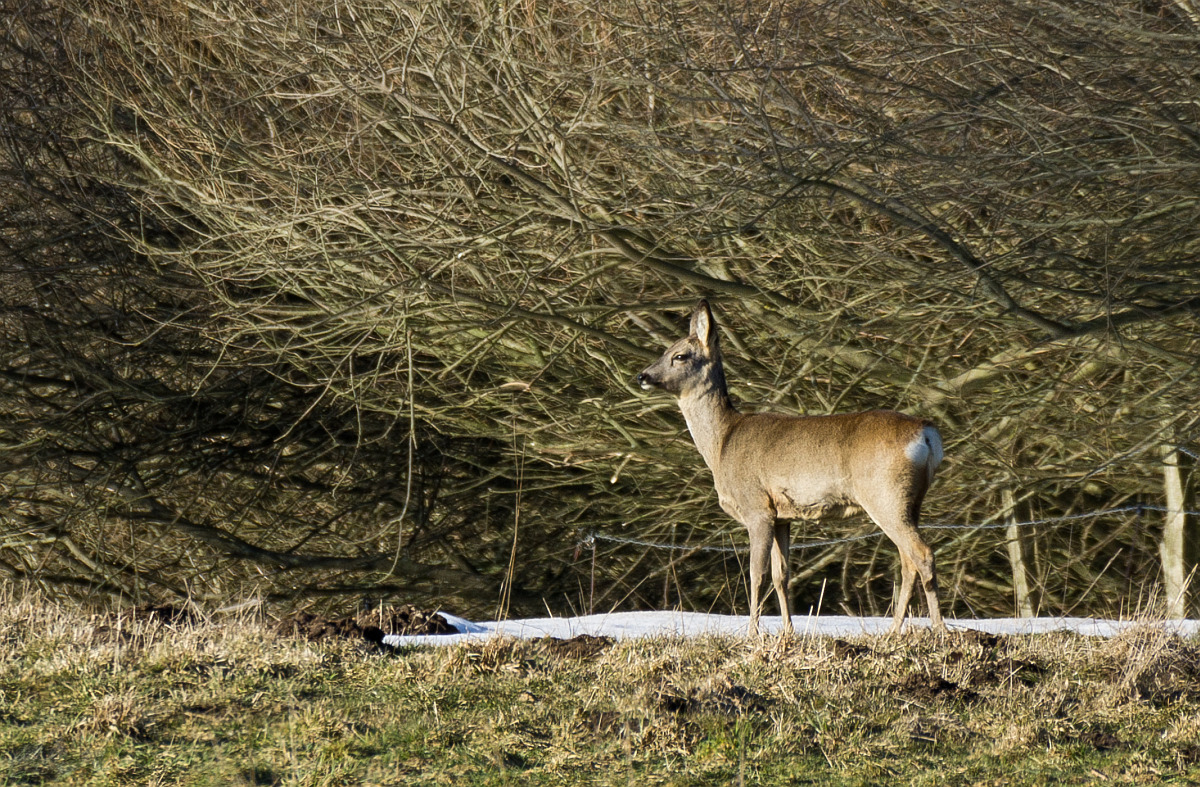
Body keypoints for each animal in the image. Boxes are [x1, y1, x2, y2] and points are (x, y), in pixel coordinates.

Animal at [638, 298, 945, 638]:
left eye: (680, 355)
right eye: (666, 349)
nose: (643, 376)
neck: (721, 444)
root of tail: (927, 433)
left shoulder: (756, 507)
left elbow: (756, 574)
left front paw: (753, 634)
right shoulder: (782, 516)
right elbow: (781, 574)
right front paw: (787, 631)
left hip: (885, 495)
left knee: (922, 554)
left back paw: (939, 628)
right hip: (910, 501)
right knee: (908, 560)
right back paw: (894, 630)